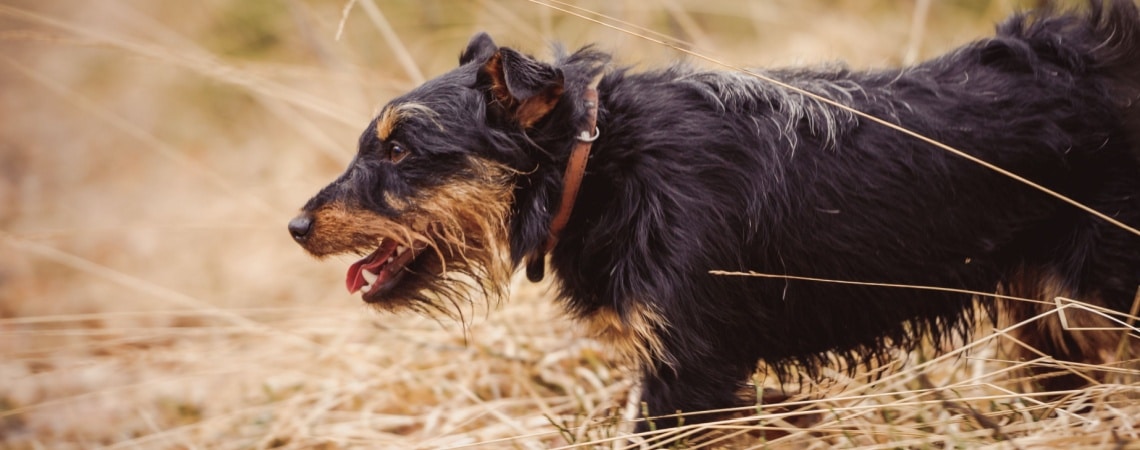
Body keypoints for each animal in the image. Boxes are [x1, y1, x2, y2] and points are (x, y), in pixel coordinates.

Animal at [285, 0, 1140, 430]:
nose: (295, 227)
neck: (602, 167)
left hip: (1098, 303)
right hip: (1048, 331)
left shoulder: (686, 377)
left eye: (401, 149)